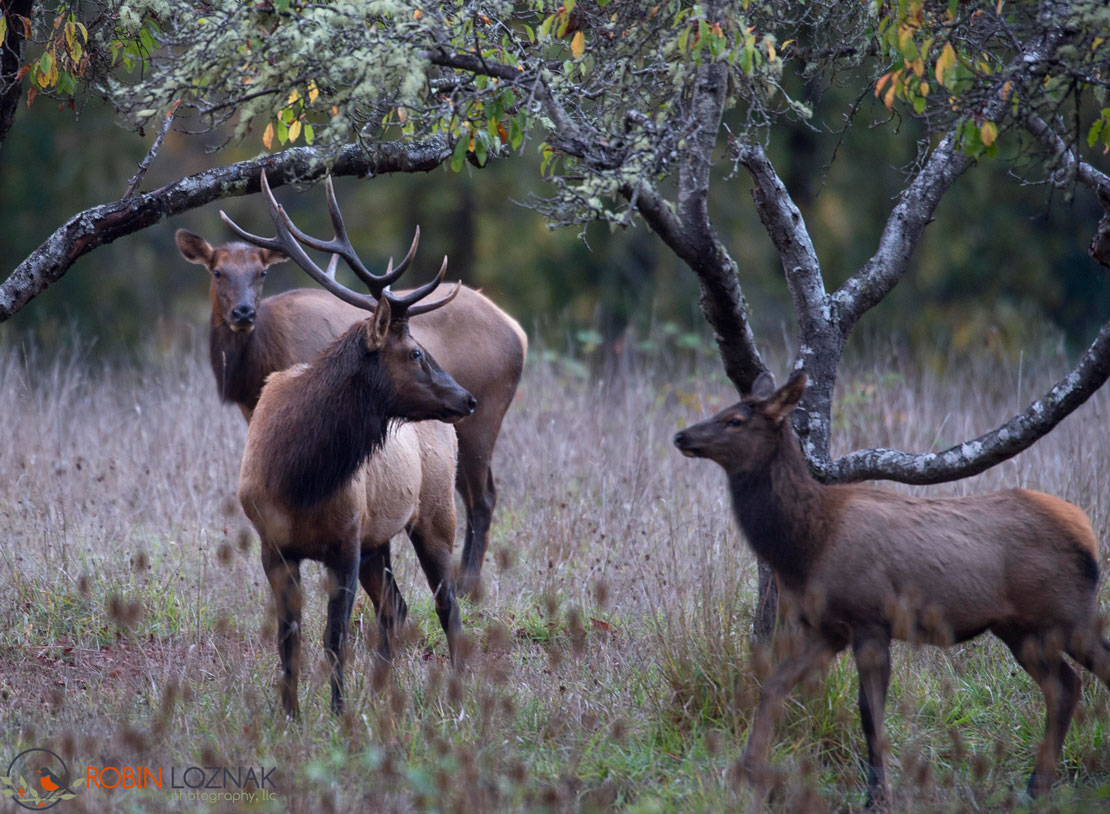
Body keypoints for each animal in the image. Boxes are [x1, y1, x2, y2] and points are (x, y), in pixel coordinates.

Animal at [176, 179, 526, 598]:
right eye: (217, 272)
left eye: (262, 273)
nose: (243, 313)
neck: (254, 371)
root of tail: (518, 331)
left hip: (483, 419)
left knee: (482, 498)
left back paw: (466, 586)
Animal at [226, 174, 477, 717]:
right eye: (415, 352)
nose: (467, 398)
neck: (297, 476)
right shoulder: (273, 545)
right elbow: (289, 637)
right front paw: (291, 714)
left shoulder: (345, 540)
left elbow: (334, 636)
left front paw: (338, 714)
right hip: (379, 539)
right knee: (396, 607)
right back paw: (382, 694)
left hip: (434, 512)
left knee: (446, 603)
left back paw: (458, 697)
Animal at [673, 370, 1110, 806]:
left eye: (735, 420)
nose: (681, 435)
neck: (805, 547)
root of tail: (1088, 534)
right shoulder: (828, 629)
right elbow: (773, 686)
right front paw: (748, 773)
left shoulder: (870, 619)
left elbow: (870, 714)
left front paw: (877, 797)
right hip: (1019, 628)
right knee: (1064, 686)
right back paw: (1036, 788)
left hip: (1068, 613)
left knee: (1090, 671)